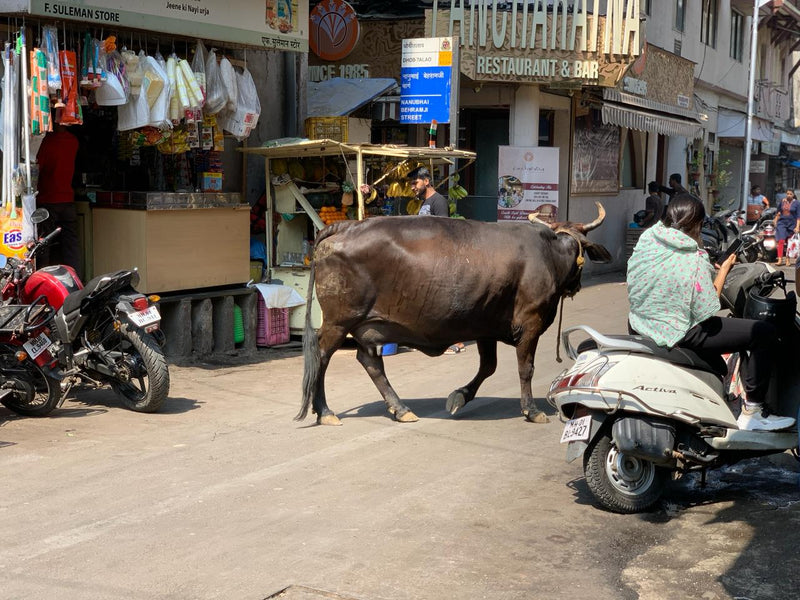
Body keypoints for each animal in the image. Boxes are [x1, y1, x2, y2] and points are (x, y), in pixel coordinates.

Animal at [296, 203, 611, 426]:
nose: (576, 284)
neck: (551, 253)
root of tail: (346, 226)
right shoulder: (530, 322)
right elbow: (526, 368)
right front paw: (531, 410)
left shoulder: (485, 325)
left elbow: (488, 367)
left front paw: (459, 396)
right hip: (339, 321)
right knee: (321, 356)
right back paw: (324, 411)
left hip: (366, 326)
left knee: (371, 362)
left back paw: (400, 408)